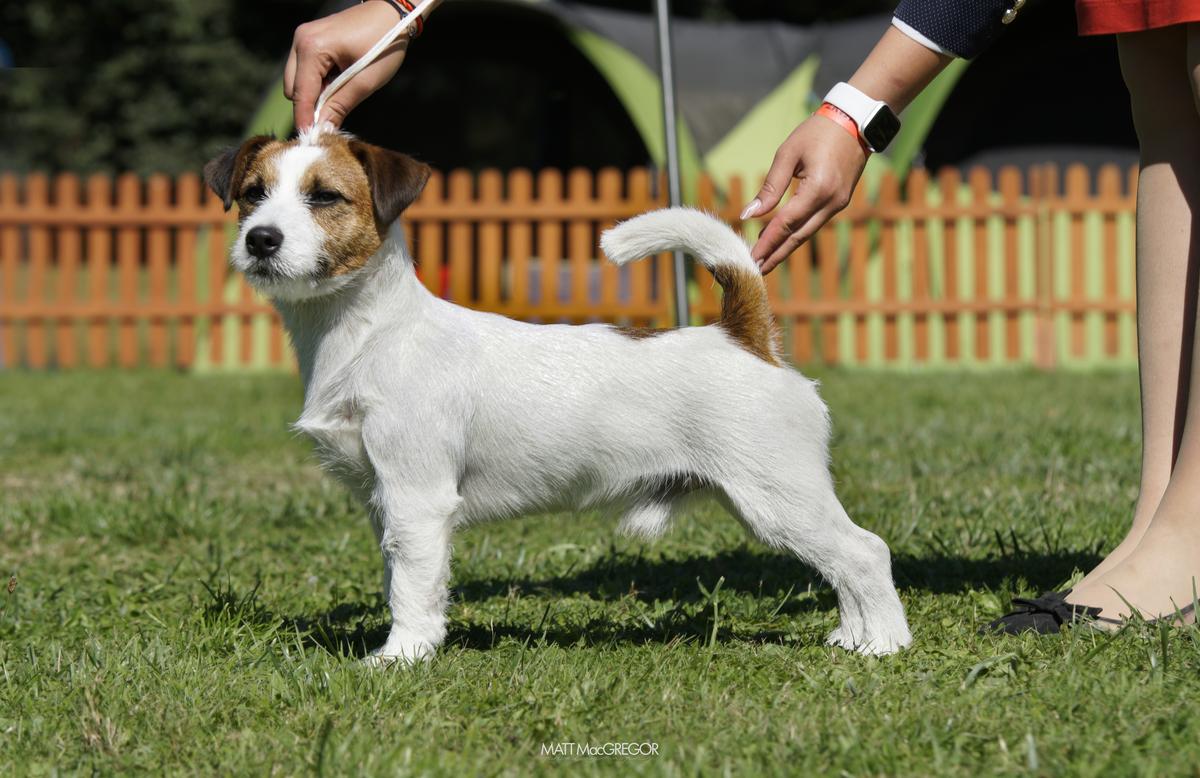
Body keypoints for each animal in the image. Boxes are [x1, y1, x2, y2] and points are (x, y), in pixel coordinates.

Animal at [204, 127, 907, 662]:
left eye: (325, 196)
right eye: (252, 194)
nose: (261, 239)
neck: (370, 331)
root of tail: (744, 337)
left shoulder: (417, 497)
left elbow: (413, 586)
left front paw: (400, 658)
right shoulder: (387, 504)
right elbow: (401, 575)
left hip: (778, 494)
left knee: (864, 552)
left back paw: (884, 645)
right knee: (842, 563)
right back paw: (850, 636)